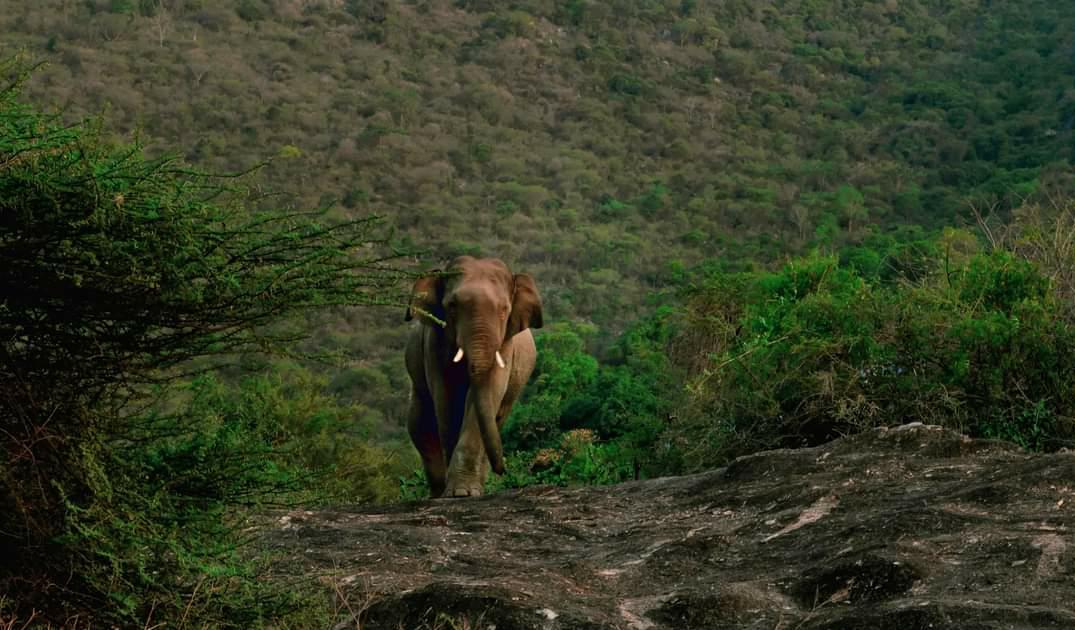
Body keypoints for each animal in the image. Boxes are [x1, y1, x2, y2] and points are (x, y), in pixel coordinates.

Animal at [404, 254, 541, 494]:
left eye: (504, 309)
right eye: (451, 306)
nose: (502, 470)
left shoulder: (506, 343)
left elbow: (489, 391)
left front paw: (464, 492)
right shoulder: (434, 342)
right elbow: (448, 399)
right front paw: (455, 493)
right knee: (422, 426)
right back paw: (439, 492)